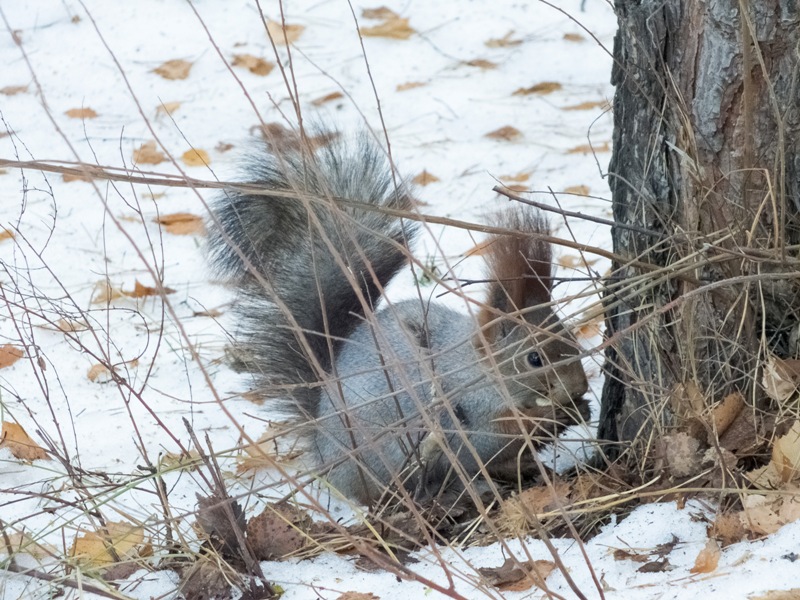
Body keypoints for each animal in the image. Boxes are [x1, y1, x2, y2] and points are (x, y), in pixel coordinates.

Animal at [209, 131, 592, 506]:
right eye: (534, 358)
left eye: (572, 340)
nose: (579, 388)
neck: (478, 367)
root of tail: (322, 445)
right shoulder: (468, 409)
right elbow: (496, 435)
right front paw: (552, 415)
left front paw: (580, 410)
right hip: (385, 455)